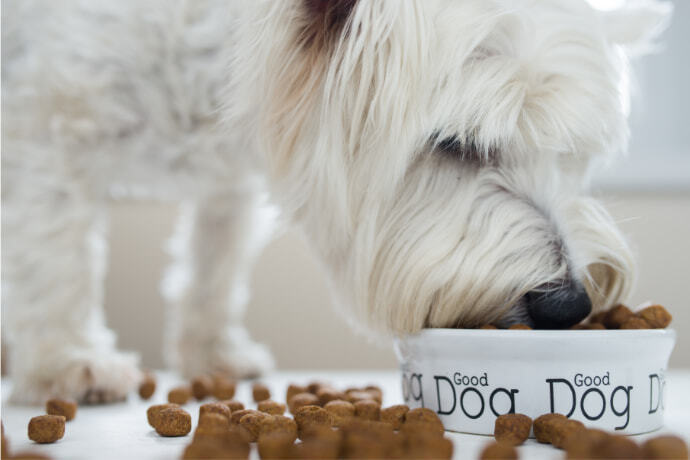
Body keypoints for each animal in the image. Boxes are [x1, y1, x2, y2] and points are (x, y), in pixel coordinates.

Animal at [0, 0, 668, 402]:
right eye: (454, 141)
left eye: (567, 154)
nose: (569, 304)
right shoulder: (47, 133)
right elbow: (57, 261)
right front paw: (69, 362)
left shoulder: (229, 177)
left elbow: (214, 266)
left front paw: (213, 354)